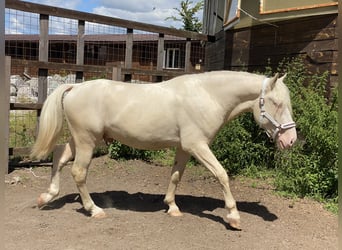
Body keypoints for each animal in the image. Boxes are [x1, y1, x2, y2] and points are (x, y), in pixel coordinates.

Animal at [30, 70, 296, 229]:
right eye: (277, 103)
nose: (291, 140)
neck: (207, 95)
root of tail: (74, 88)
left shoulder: (184, 148)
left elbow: (175, 176)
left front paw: (172, 207)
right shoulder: (197, 146)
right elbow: (221, 174)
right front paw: (233, 217)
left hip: (81, 141)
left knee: (59, 156)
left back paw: (47, 196)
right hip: (87, 141)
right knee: (78, 172)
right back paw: (94, 210)